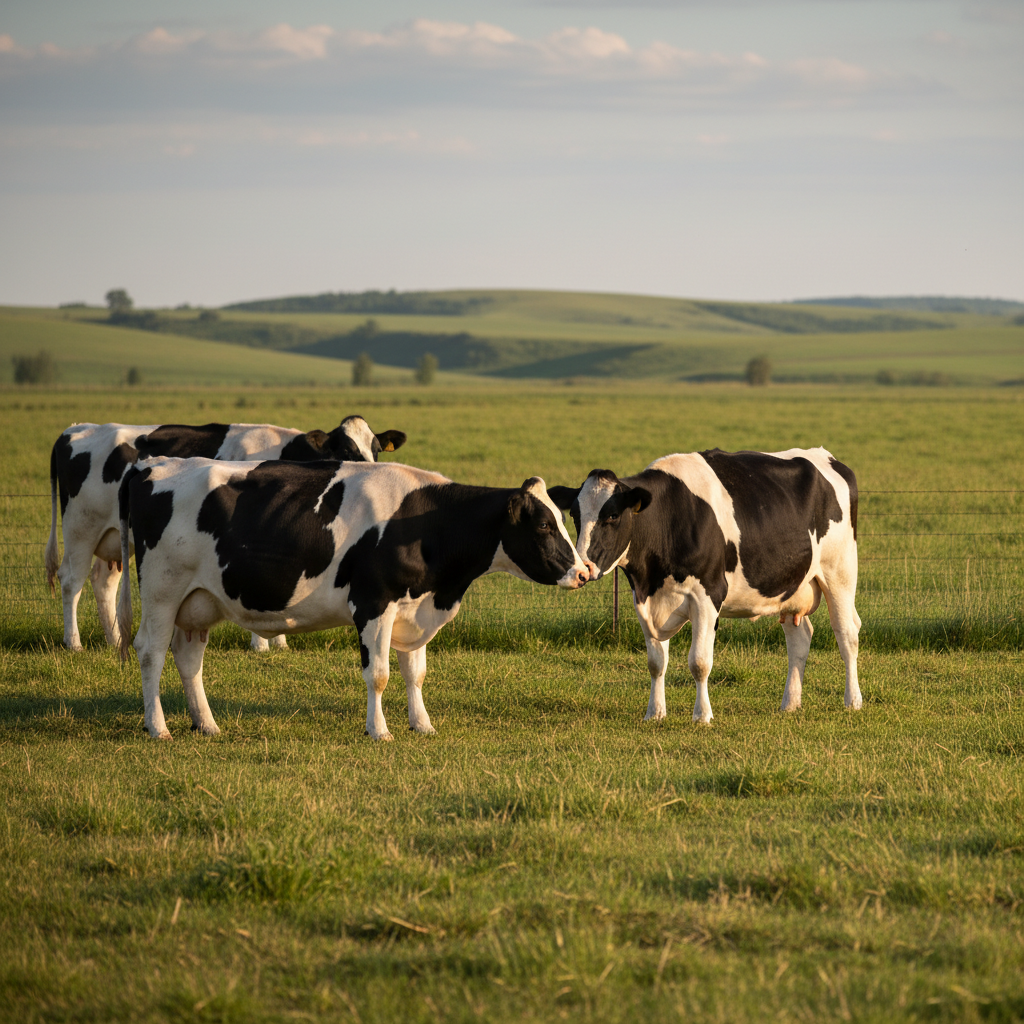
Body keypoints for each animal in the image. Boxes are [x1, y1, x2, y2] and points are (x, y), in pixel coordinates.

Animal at [44, 416, 406, 652]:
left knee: (103, 582)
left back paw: (114, 640)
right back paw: (73, 642)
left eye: (376, 449)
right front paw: (262, 645)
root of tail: (76, 429)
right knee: (71, 579)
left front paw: (279, 641)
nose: (373, 473)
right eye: (345, 450)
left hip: (113, 537)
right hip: (80, 525)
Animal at [115, 458, 589, 740]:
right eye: (544, 525)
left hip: (198, 601)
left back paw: (207, 723)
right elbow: (378, 674)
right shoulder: (374, 603)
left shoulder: (411, 608)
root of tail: (151, 464)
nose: (584, 572)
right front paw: (379, 731)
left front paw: (422, 725)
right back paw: (158, 727)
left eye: (561, 519)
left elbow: (415, 673)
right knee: (151, 652)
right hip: (162, 590)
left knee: (188, 658)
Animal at [549, 448, 861, 723]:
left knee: (847, 633)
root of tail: (827, 457)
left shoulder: (708, 595)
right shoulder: (644, 598)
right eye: (575, 516)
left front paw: (702, 716)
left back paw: (853, 700)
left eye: (612, 515)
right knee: (800, 638)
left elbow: (699, 662)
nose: (583, 568)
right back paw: (790, 704)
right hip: (793, 586)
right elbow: (656, 662)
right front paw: (655, 713)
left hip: (840, 572)